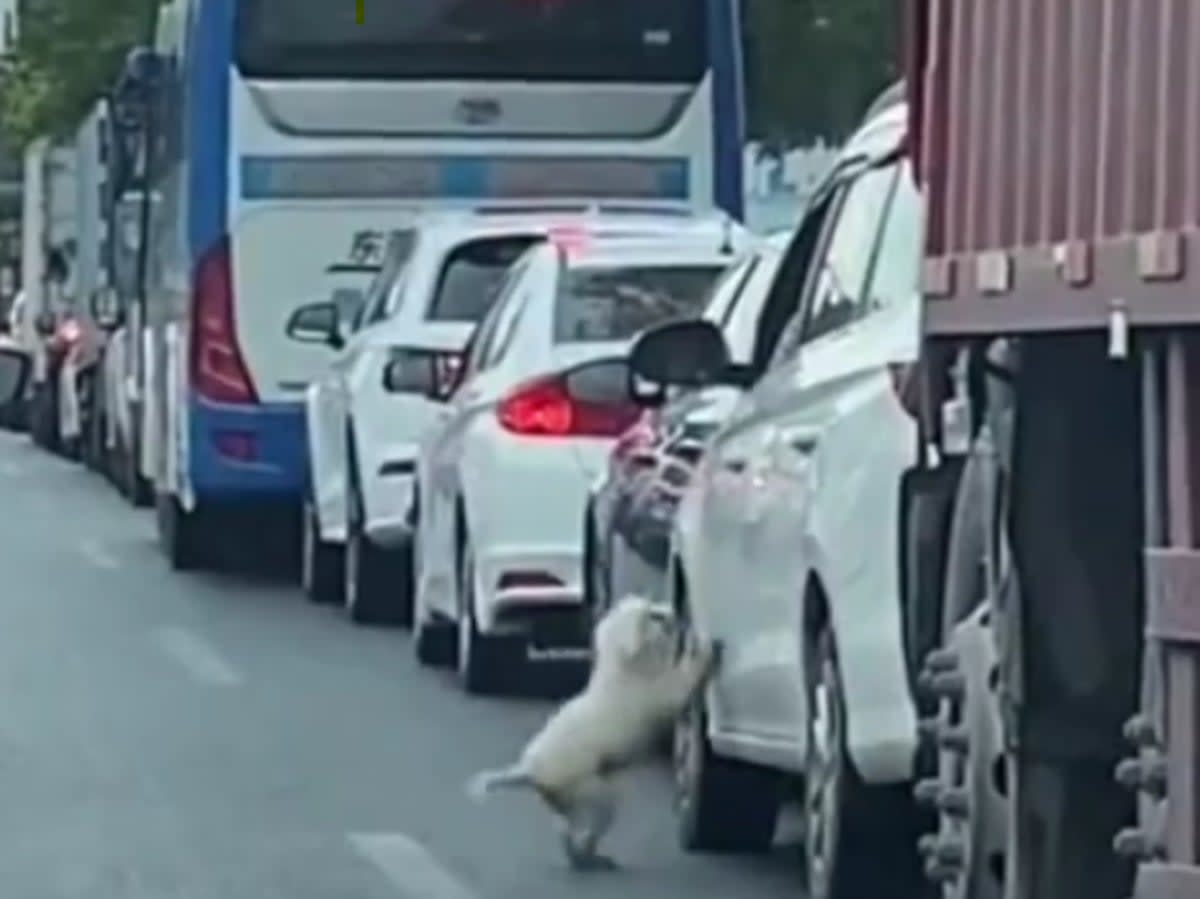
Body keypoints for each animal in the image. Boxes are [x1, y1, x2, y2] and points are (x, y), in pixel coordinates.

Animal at [463, 592, 715, 864]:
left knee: (564, 825)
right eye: (653, 615)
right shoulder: (657, 694)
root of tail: (529, 770)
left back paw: (584, 853)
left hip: (564, 798)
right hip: (587, 790)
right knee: (590, 821)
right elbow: (680, 683)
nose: (675, 612)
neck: (625, 669)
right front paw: (705, 648)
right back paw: (587, 852)